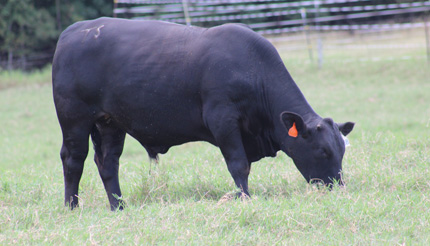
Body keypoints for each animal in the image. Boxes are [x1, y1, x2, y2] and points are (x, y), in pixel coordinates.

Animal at [53, 17, 352, 210]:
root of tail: (73, 31)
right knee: (73, 160)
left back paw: (119, 206)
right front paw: (245, 198)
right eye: (323, 151)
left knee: (108, 163)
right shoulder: (223, 121)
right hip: (74, 119)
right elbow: (239, 165)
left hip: (110, 123)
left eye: (342, 150)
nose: (339, 188)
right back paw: (71, 207)